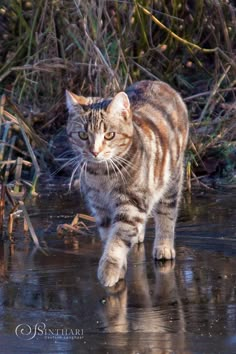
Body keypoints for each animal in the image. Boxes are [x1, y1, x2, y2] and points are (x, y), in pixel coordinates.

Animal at [65, 80, 189, 288]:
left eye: (109, 135)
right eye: (82, 135)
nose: (95, 152)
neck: (102, 174)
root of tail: (158, 82)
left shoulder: (131, 202)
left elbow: (117, 239)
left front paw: (110, 269)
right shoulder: (101, 207)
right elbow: (110, 236)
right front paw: (119, 266)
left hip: (171, 180)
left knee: (166, 214)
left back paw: (164, 246)